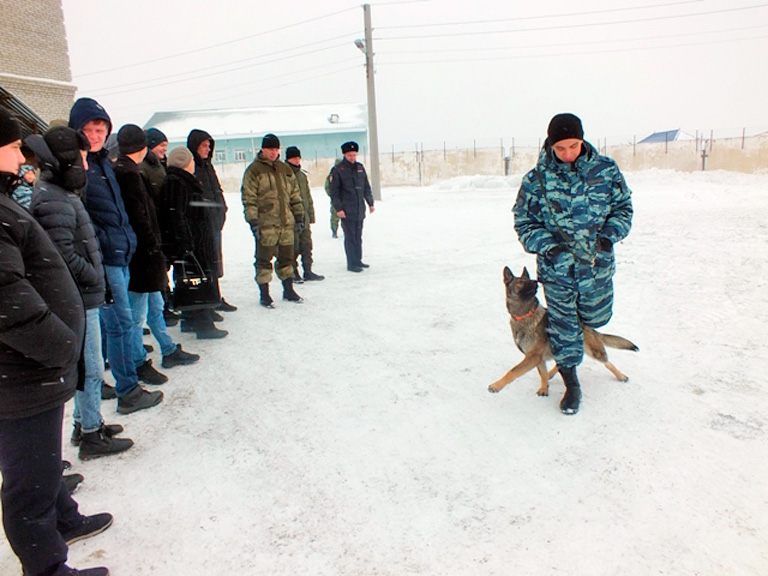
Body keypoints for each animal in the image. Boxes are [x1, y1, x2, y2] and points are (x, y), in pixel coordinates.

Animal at [488, 266, 640, 396]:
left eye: (530, 280)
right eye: (520, 282)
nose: (536, 281)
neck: (526, 315)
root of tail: (586, 324)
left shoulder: (533, 357)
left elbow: (512, 372)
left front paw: (496, 385)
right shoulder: (537, 358)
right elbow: (542, 373)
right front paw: (544, 388)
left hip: (594, 352)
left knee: (607, 362)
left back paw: (621, 376)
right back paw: (551, 374)